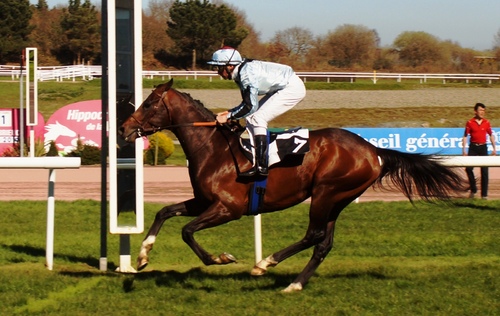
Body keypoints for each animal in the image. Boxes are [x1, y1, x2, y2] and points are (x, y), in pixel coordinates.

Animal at [119, 79, 466, 292]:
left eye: (148, 104)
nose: (124, 128)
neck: (214, 148)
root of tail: (373, 149)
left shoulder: (229, 208)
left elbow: (187, 231)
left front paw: (221, 258)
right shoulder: (204, 201)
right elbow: (165, 212)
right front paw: (143, 256)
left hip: (326, 192)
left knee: (313, 235)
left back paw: (265, 264)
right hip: (338, 199)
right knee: (323, 243)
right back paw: (294, 284)